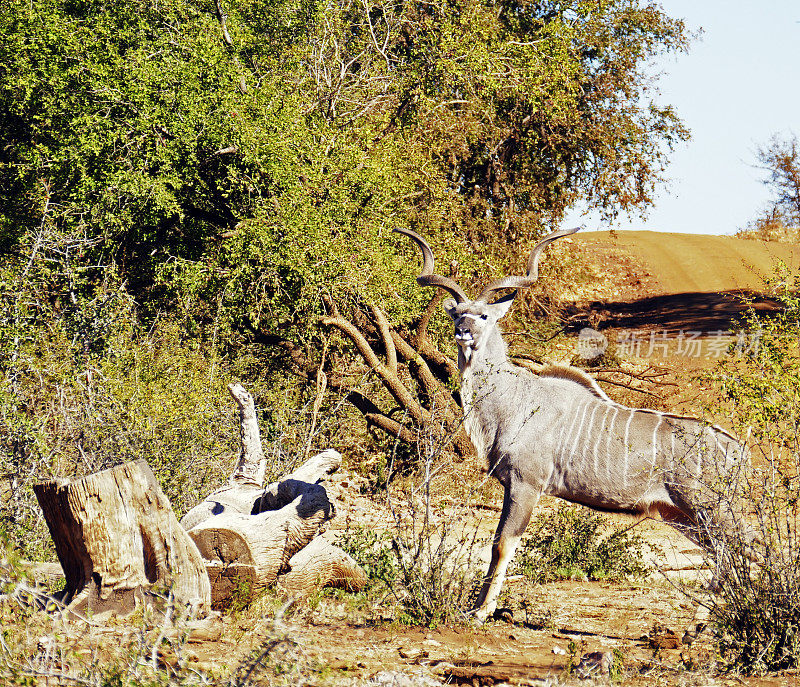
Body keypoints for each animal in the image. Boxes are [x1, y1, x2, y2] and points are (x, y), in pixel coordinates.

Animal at [396, 227, 752, 628]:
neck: (515, 398)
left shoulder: (526, 484)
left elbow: (502, 543)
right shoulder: (515, 486)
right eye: (457, 313)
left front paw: (480, 611)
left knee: (749, 550)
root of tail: (738, 449)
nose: (463, 332)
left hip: (713, 510)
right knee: (727, 556)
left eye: (484, 315)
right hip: (687, 517)